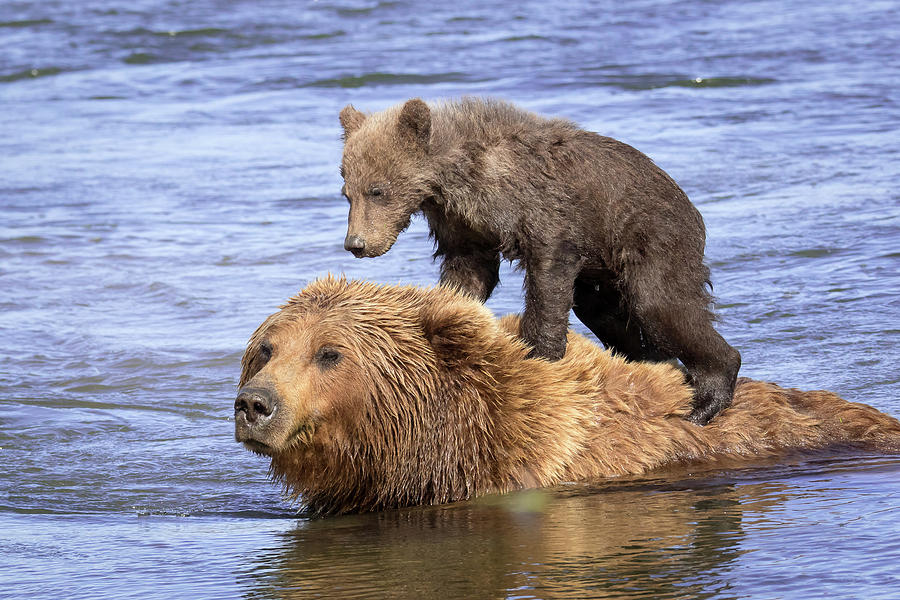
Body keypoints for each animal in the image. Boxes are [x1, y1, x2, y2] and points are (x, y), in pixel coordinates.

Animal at [338, 98, 740, 424]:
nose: (355, 244)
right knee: (604, 312)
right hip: (603, 269)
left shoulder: (543, 209)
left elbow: (548, 275)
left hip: (649, 234)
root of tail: (689, 205)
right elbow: (469, 274)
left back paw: (707, 398)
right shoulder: (464, 225)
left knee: (660, 305)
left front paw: (539, 354)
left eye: (377, 190)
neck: (456, 178)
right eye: (347, 192)